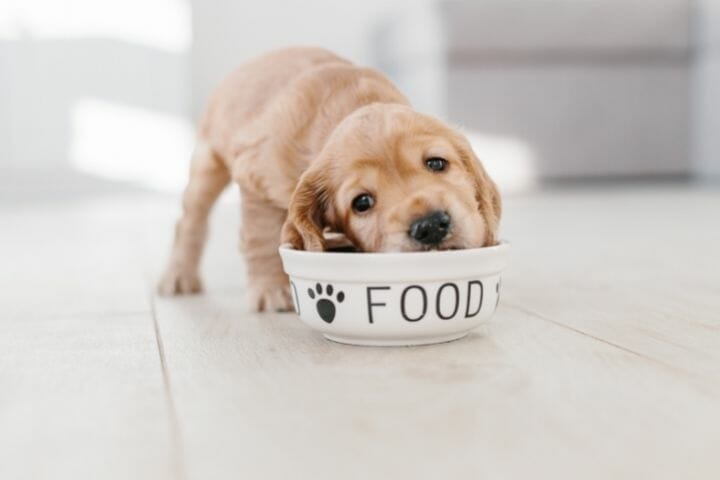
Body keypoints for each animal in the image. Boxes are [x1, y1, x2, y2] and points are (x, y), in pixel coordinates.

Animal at [158, 47, 500, 312]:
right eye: (362, 202)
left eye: (436, 163)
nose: (429, 226)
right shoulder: (255, 179)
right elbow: (261, 237)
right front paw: (270, 290)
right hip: (207, 164)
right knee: (189, 221)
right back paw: (179, 276)